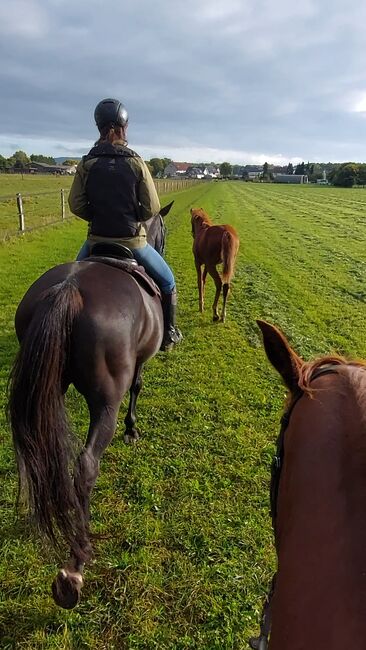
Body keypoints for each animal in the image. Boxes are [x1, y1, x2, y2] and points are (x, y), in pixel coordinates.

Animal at [7, 204, 173, 608]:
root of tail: (68, 291)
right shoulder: (139, 364)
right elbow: (138, 387)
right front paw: (132, 429)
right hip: (104, 405)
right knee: (84, 467)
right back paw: (74, 568)